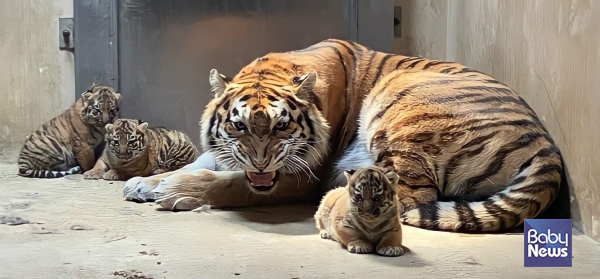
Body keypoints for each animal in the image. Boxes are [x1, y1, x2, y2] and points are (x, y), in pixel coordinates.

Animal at [122, 38, 564, 233]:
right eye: (239, 125)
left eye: (282, 125)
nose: (261, 163)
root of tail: (547, 146)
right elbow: (208, 161)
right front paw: (145, 183)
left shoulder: (298, 175)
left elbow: (230, 184)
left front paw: (176, 190)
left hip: (402, 101)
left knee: (411, 198)